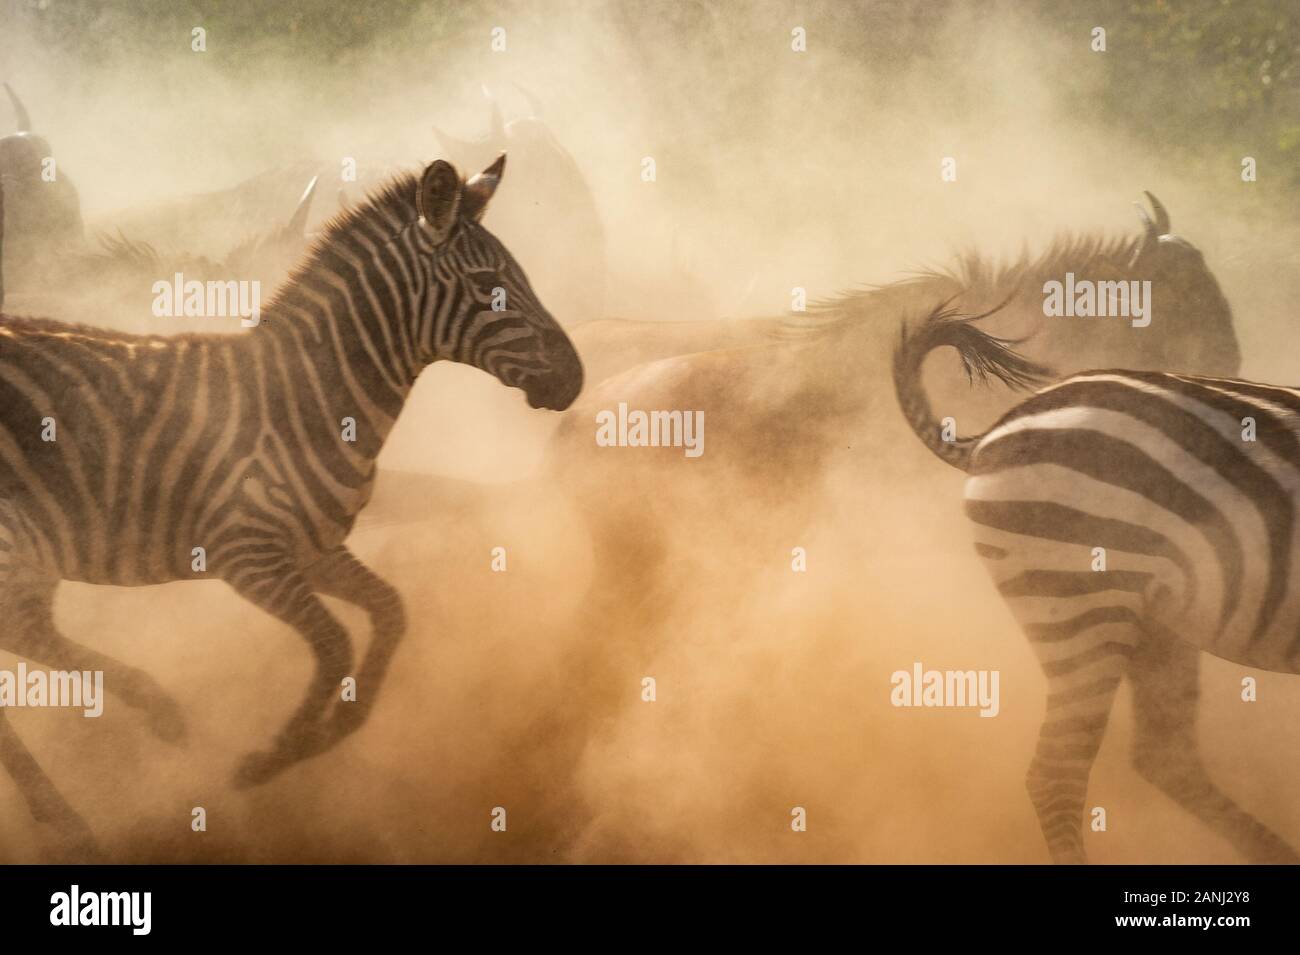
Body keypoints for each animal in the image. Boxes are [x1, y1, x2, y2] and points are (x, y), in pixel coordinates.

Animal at [0, 153, 585, 857]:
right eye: (488, 282)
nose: (576, 380)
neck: (308, 394)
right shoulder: (249, 555)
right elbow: (334, 644)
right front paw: (274, 757)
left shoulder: (317, 549)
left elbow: (391, 614)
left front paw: (338, 728)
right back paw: (87, 796)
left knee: (26, 632)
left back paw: (142, 723)